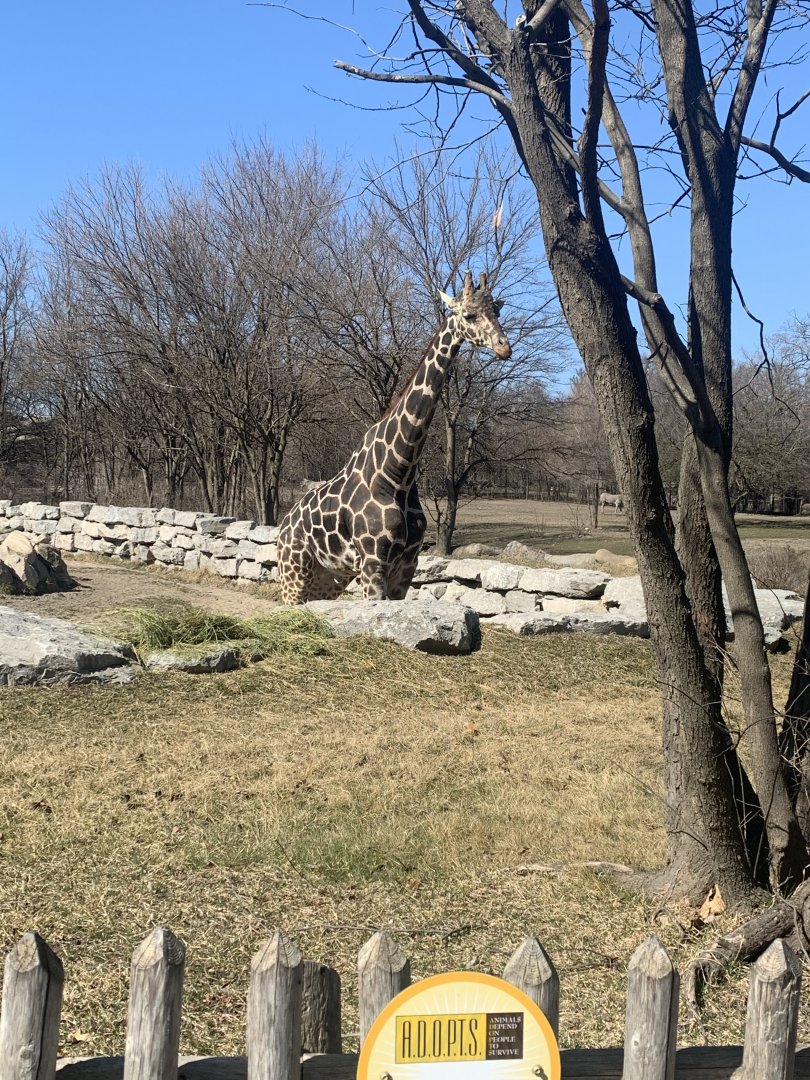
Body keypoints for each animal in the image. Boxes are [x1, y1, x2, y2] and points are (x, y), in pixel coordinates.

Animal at [277, 271, 511, 603]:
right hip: (293, 573)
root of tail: (283, 525)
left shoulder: (407, 565)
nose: (504, 348)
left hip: (328, 579)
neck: (399, 472)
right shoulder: (372, 564)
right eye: (469, 314)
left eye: (497, 312)